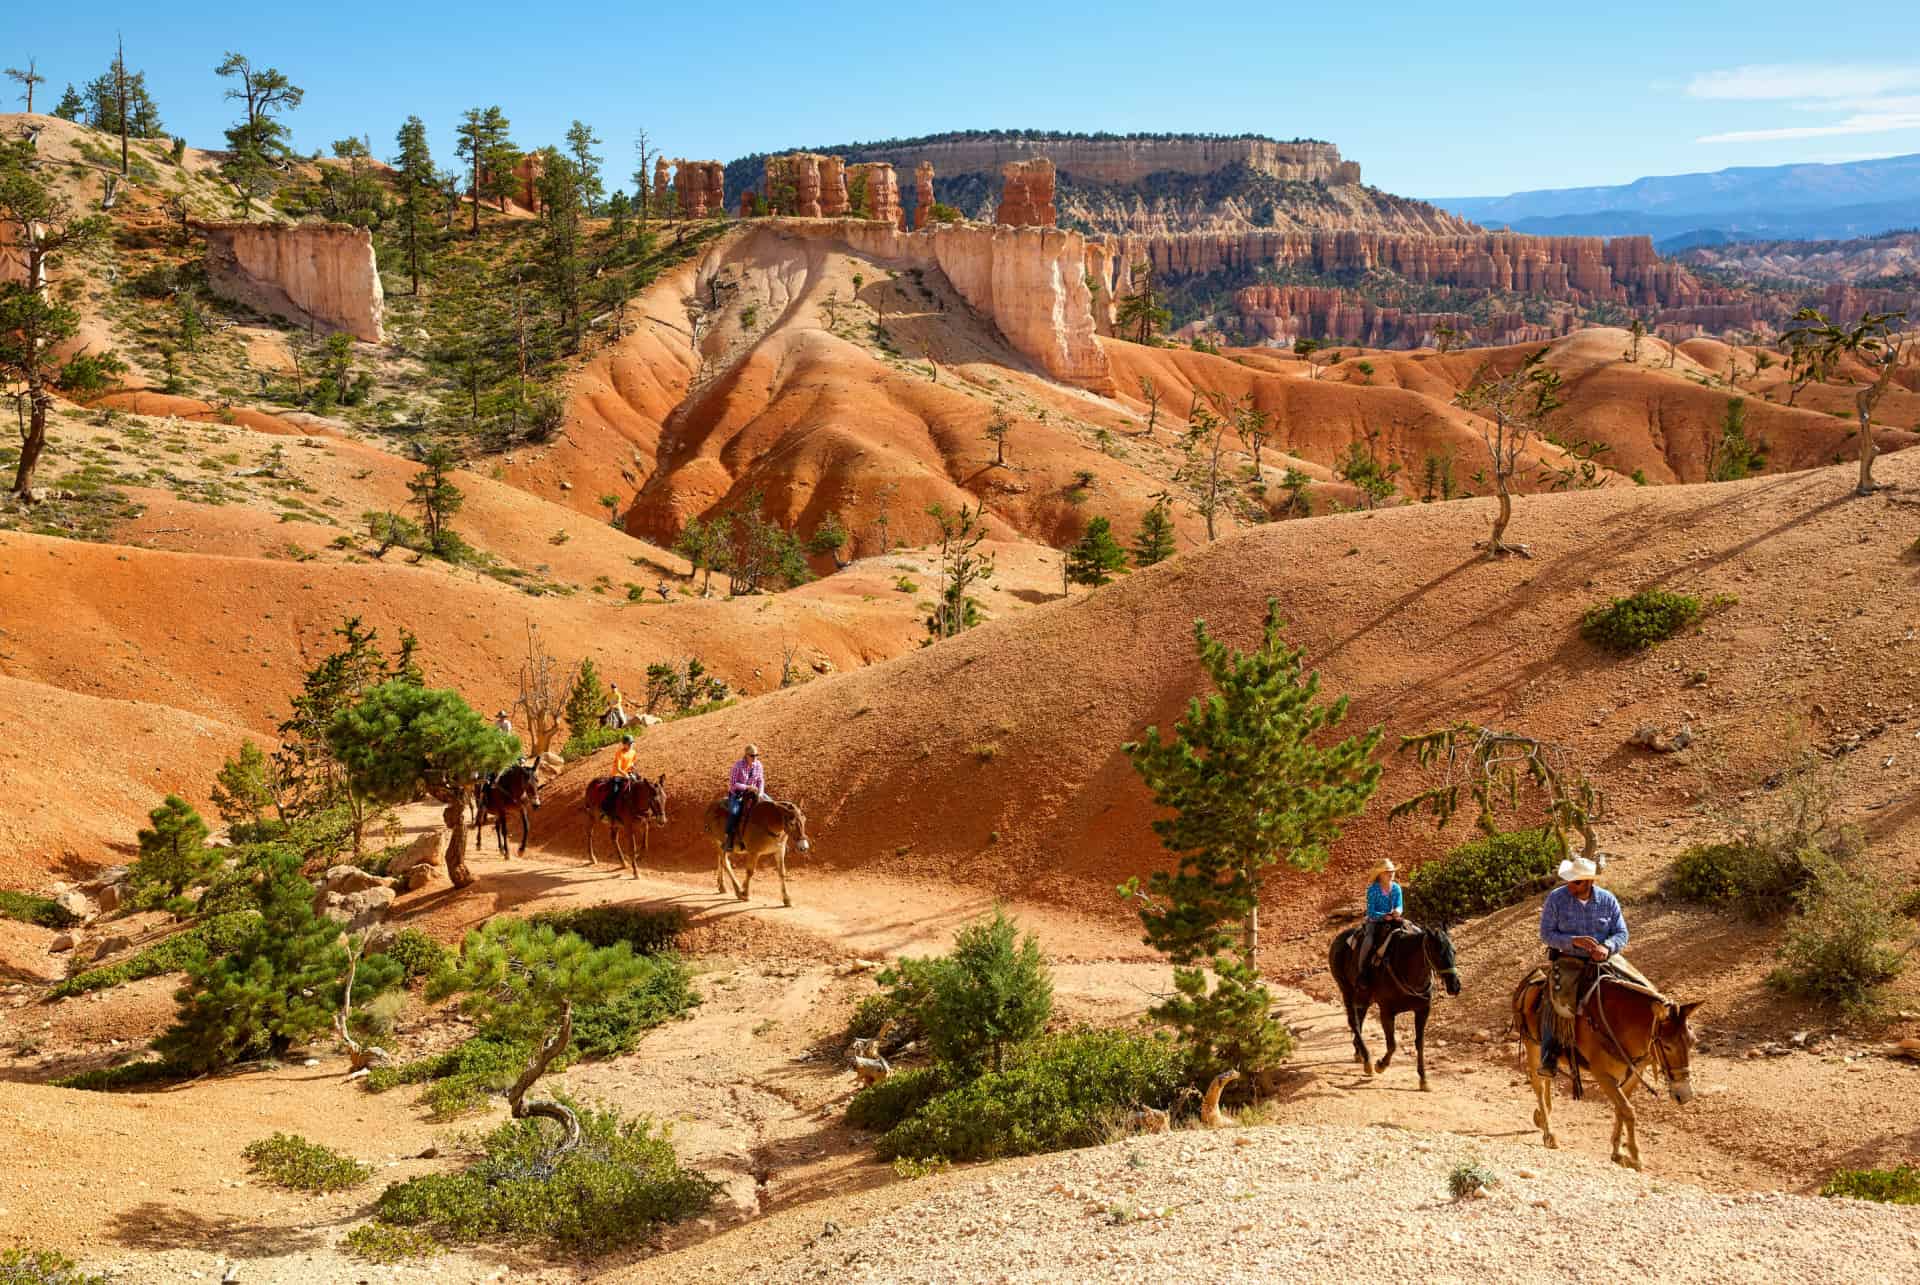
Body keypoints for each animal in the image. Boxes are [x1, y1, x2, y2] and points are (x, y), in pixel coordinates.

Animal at [1505, 968, 1704, 1167]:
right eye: (1667, 1046)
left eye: (1693, 1042)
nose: (1685, 1095)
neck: (1620, 1022)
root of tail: (1530, 979)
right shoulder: (1603, 1075)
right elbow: (1628, 1111)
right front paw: (1635, 1156)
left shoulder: (1633, 1073)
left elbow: (1621, 1110)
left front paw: (1617, 1152)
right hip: (1533, 1047)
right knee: (1539, 1086)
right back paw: (1549, 1134)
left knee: (1546, 1080)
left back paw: (1541, 1116)